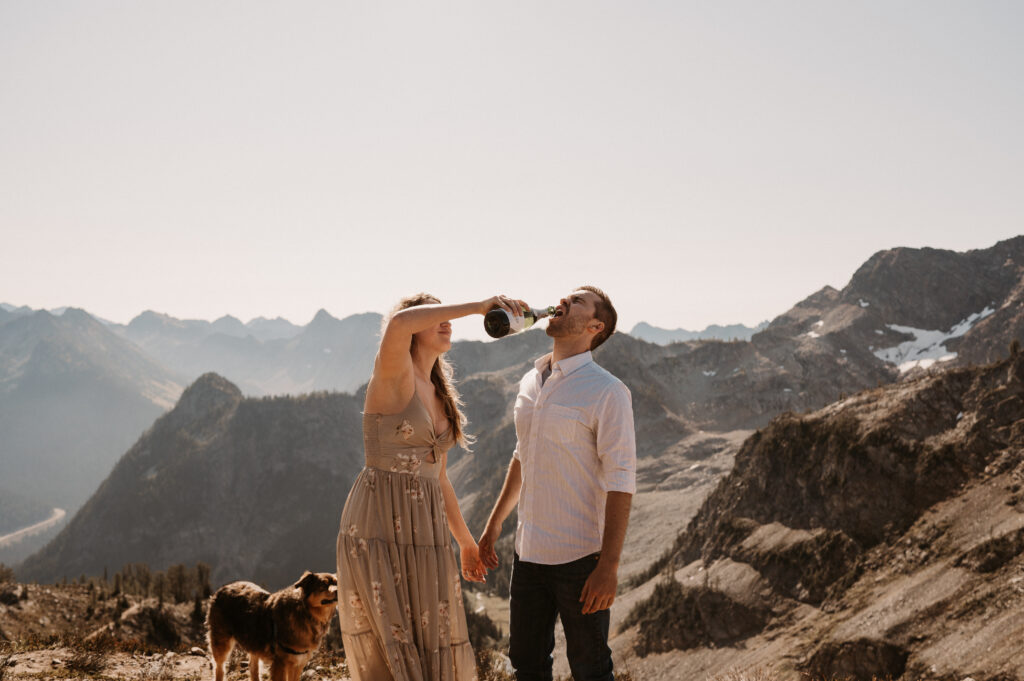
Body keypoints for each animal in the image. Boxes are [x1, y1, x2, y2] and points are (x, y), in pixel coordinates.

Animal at [205, 569, 337, 679]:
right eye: (323, 584)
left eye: (336, 583)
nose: (337, 591)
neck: (305, 613)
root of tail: (223, 588)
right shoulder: (280, 663)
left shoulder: (298, 663)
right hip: (221, 643)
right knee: (219, 667)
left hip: (254, 642)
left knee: (253, 668)